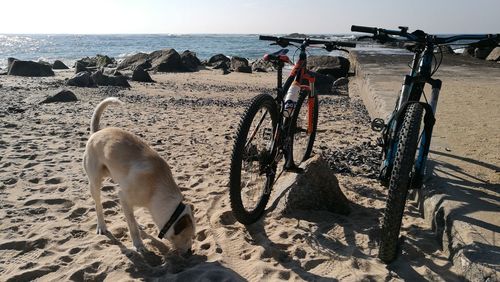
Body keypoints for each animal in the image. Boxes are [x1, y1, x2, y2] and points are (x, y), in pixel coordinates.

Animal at [83, 98, 194, 254]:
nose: (190, 252)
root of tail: (97, 132)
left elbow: (132, 219)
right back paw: (102, 226)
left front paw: (138, 227)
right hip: (95, 182)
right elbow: (132, 226)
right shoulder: (123, 196)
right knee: (98, 205)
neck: (156, 188)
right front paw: (138, 245)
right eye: (187, 237)